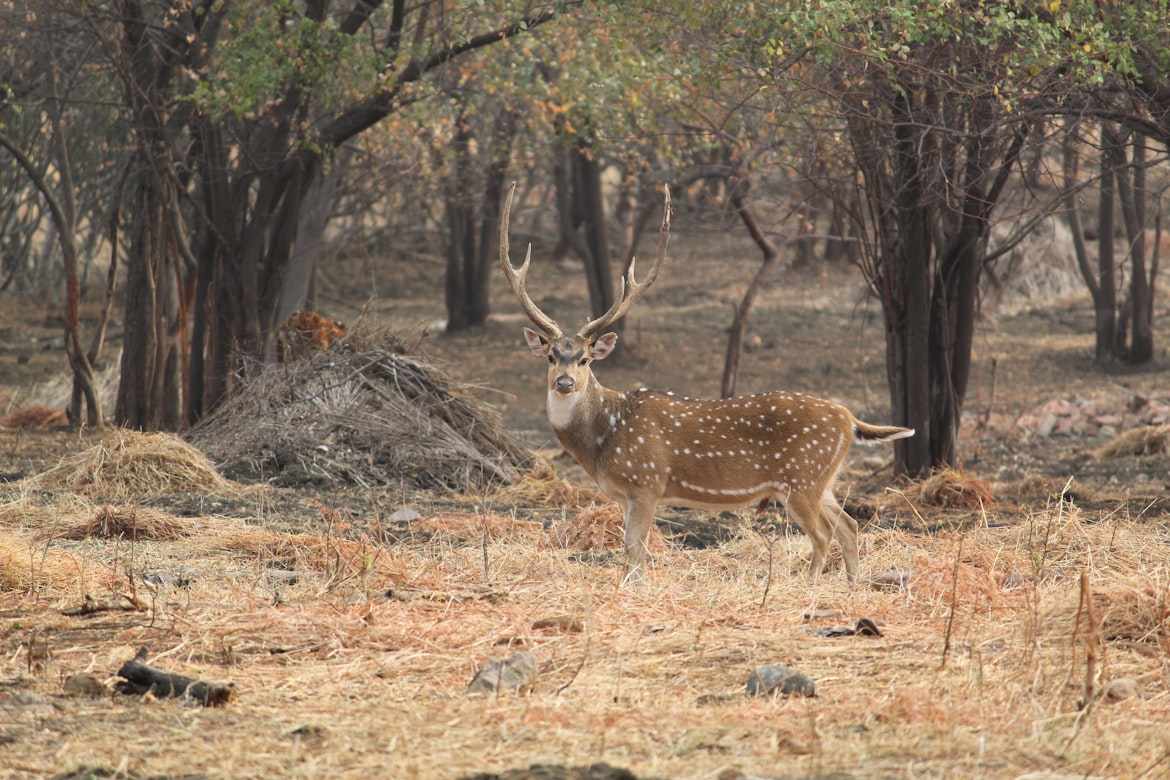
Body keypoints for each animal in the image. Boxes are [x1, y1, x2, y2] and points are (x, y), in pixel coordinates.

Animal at [498, 181, 917, 584]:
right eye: (551, 356)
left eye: (585, 358)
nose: (565, 382)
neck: (604, 440)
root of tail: (849, 419)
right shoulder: (627, 494)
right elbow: (633, 550)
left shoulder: (647, 482)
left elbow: (635, 548)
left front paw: (634, 590)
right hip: (822, 480)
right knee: (848, 523)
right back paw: (851, 585)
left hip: (803, 478)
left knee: (824, 533)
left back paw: (809, 585)